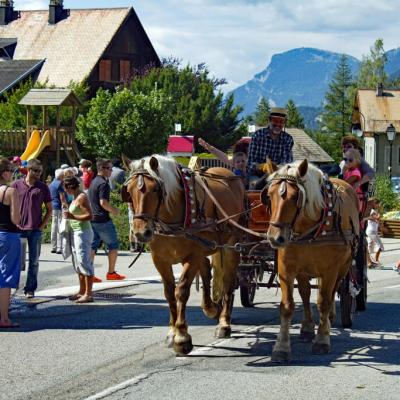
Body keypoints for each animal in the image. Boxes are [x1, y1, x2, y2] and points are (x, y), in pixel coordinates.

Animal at [122, 155, 245, 354]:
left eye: (155, 189)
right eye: (128, 190)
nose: (141, 233)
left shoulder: (192, 255)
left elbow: (181, 291)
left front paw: (181, 337)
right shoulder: (160, 259)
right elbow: (169, 293)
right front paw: (172, 333)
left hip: (231, 245)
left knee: (228, 281)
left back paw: (224, 323)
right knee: (206, 270)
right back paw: (210, 307)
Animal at [262, 159, 360, 362]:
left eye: (294, 197)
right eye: (269, 195)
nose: (275, 238)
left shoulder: (330, 270)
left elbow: (324, 302)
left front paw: (322, 340)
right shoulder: (286, 269)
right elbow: (287, 306)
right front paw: (281, 348)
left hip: (343, 267)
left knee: (332, 293)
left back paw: (328, 321)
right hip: (303, 269)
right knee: (306, 294)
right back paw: (307, 328)